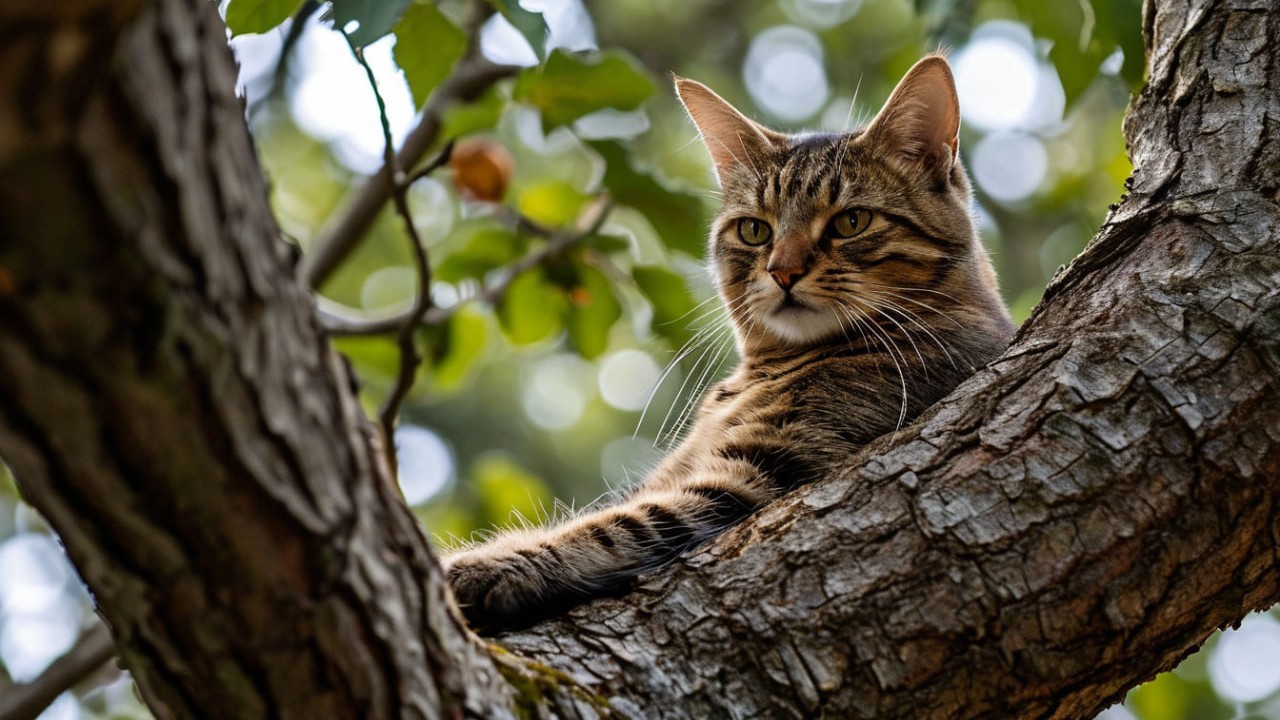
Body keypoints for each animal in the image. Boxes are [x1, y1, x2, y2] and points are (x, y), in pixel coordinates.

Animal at [445, 56, 1013, 627]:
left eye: (852, 221)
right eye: (754, 231)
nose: (783, 271)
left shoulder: (762, 472)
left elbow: (620, 524)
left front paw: (490, 564)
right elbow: (616, 509)